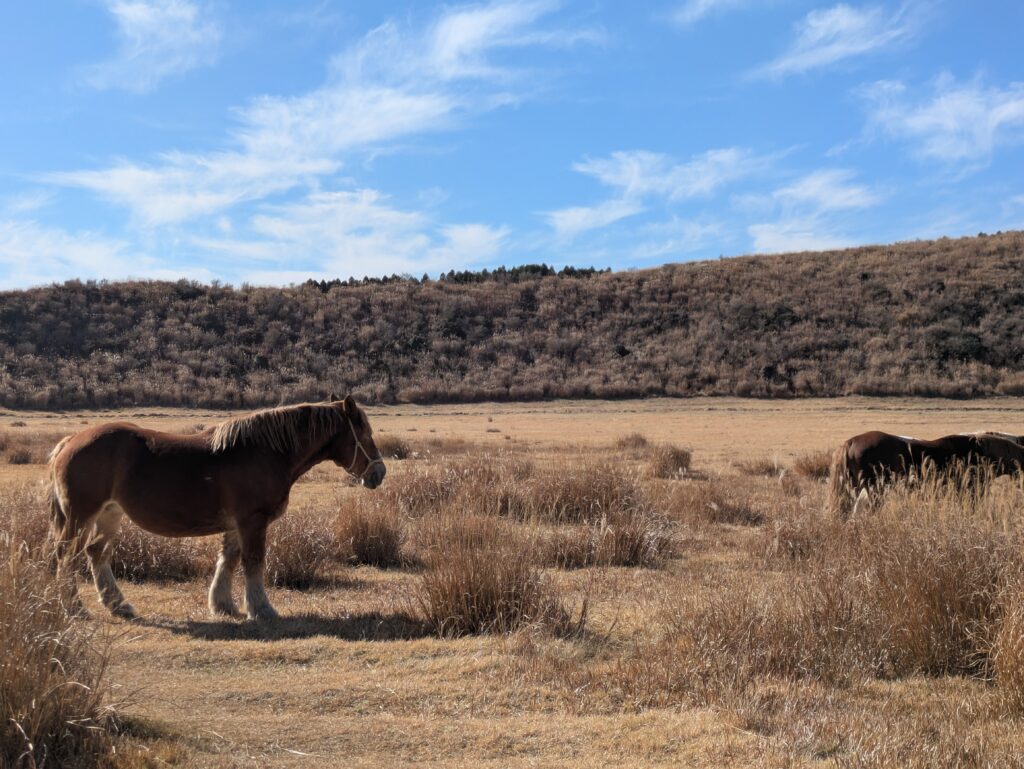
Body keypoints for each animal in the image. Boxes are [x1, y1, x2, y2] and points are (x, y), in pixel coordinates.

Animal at [47, 395, 385, 621]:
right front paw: (261, 609)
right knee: (67, 555)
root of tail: (70, 441)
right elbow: (253, 561)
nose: (379, 473)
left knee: (96, 553)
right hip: (81, 516)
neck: (266, 451)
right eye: (365, 434)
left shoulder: (237, 524)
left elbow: (229, 560)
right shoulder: (252, 520)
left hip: (109, 514)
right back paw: (74, 607)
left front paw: (223, 604)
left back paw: (118, 604)